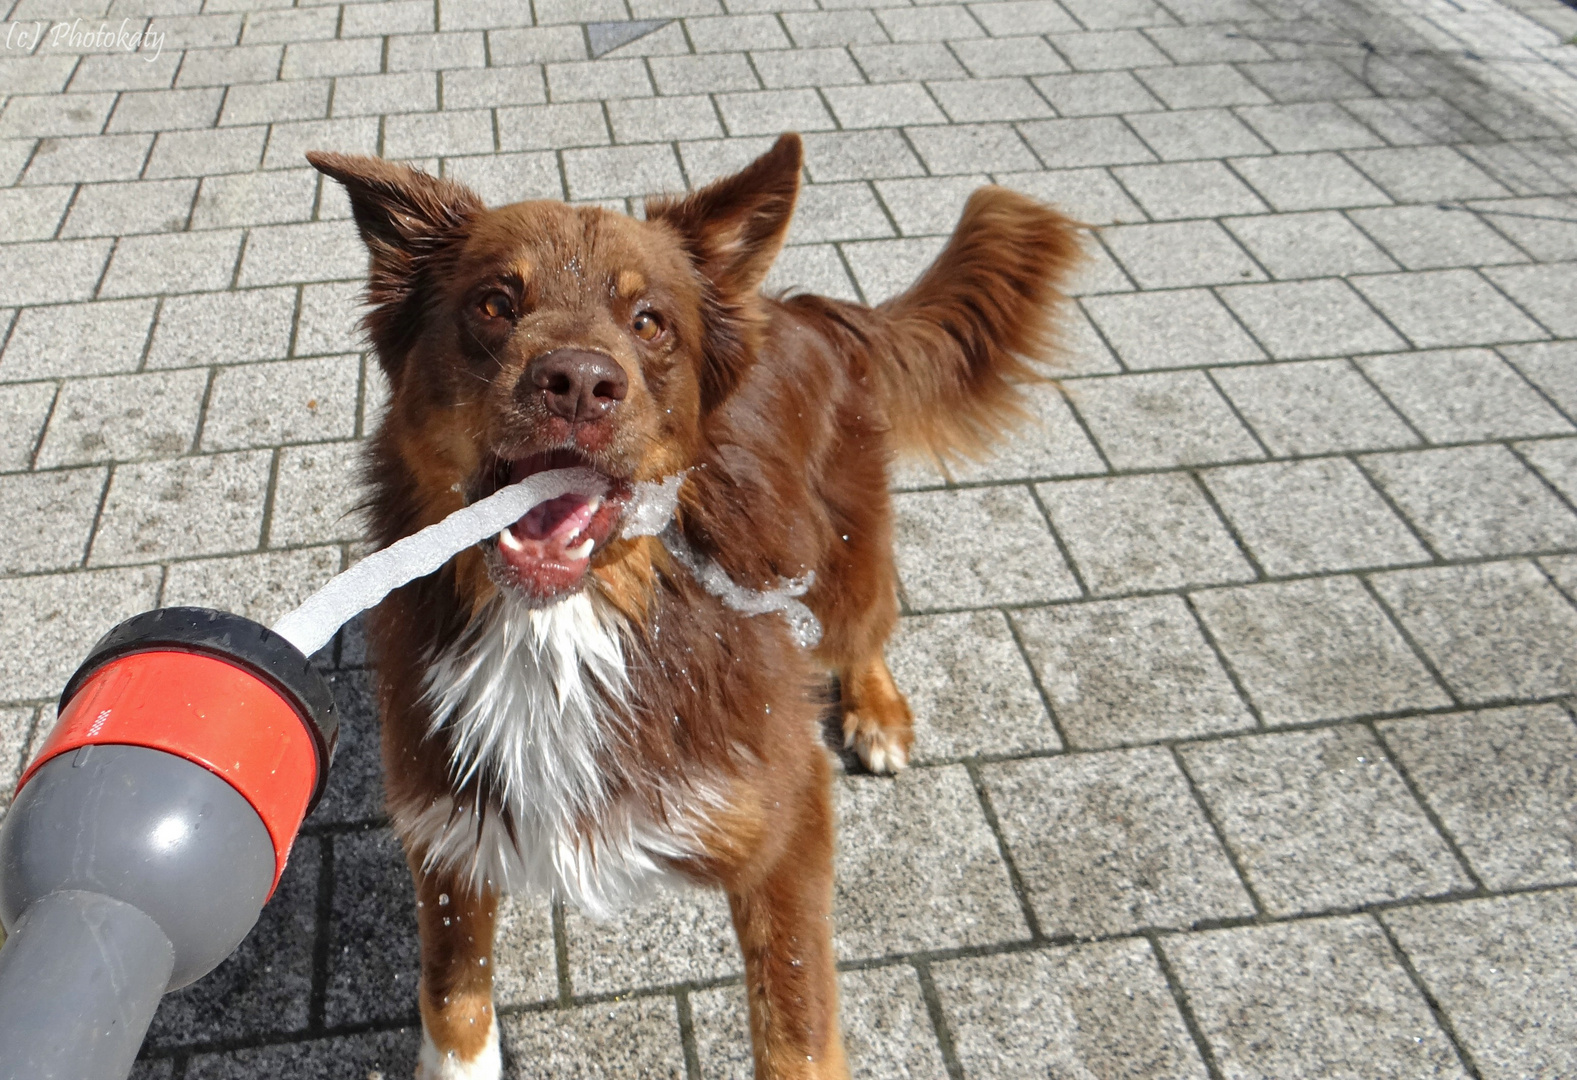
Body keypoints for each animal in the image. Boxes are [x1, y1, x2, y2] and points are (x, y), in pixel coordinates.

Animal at [307, 137, 1084, 1078]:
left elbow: (796, 1034)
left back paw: (876, 710)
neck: (562, 631)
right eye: (494, 302)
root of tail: (802, 308)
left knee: (864, 628)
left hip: (842, 558)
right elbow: (453, 1005)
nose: (577, 383)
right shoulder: (451, 832)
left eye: (649, 322)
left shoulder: (787, 826)